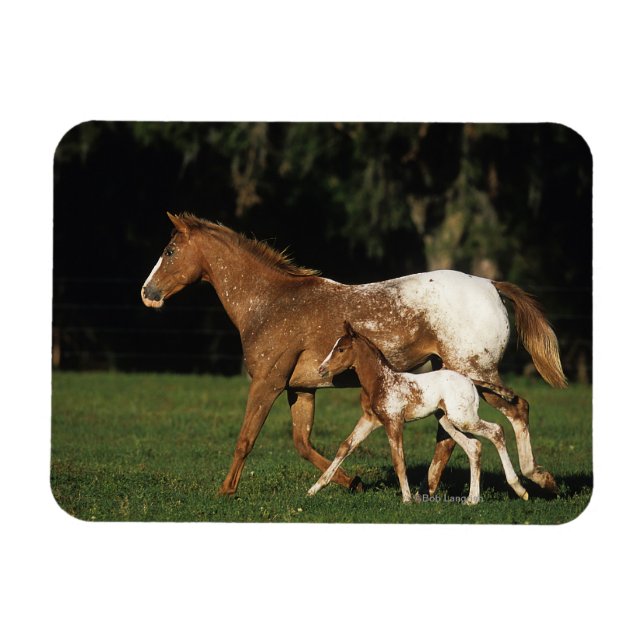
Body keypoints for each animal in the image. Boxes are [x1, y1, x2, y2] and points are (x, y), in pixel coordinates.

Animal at [309, 322, 530, 504]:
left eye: (341, 349)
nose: (321, 369)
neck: (382, 382)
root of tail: (470, 380)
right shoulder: (370, 420)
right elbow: (345, 447)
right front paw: (315, 488)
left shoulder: (394, 422)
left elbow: (399, 460)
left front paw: (407, 499)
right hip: (448, 421)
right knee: (474, 446)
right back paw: (472, 500)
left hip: (463, 419)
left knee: (496, 431)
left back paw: (519, 489)